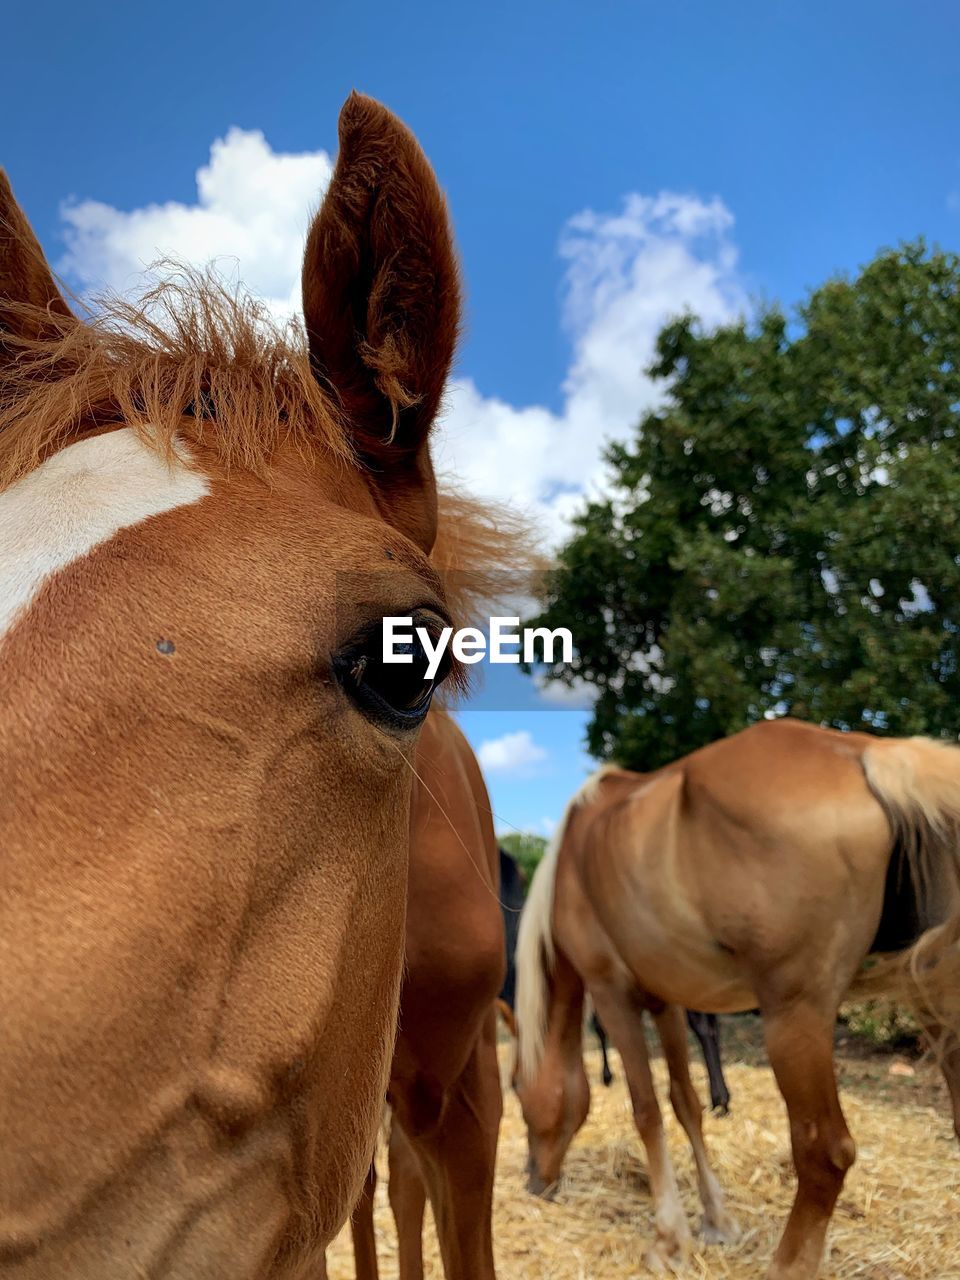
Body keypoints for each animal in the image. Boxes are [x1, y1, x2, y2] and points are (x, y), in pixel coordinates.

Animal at [514, 721, 960, 1280]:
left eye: (515, 1090)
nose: (534, 1182)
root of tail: (863, 752)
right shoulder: (667, 1002)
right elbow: (686, 1103)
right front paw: (715, 1221)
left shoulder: (612, 995)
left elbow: (646, 1110)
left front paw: (668, 1238)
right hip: (934, 1006)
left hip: (794, 1020)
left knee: (824, 1153)